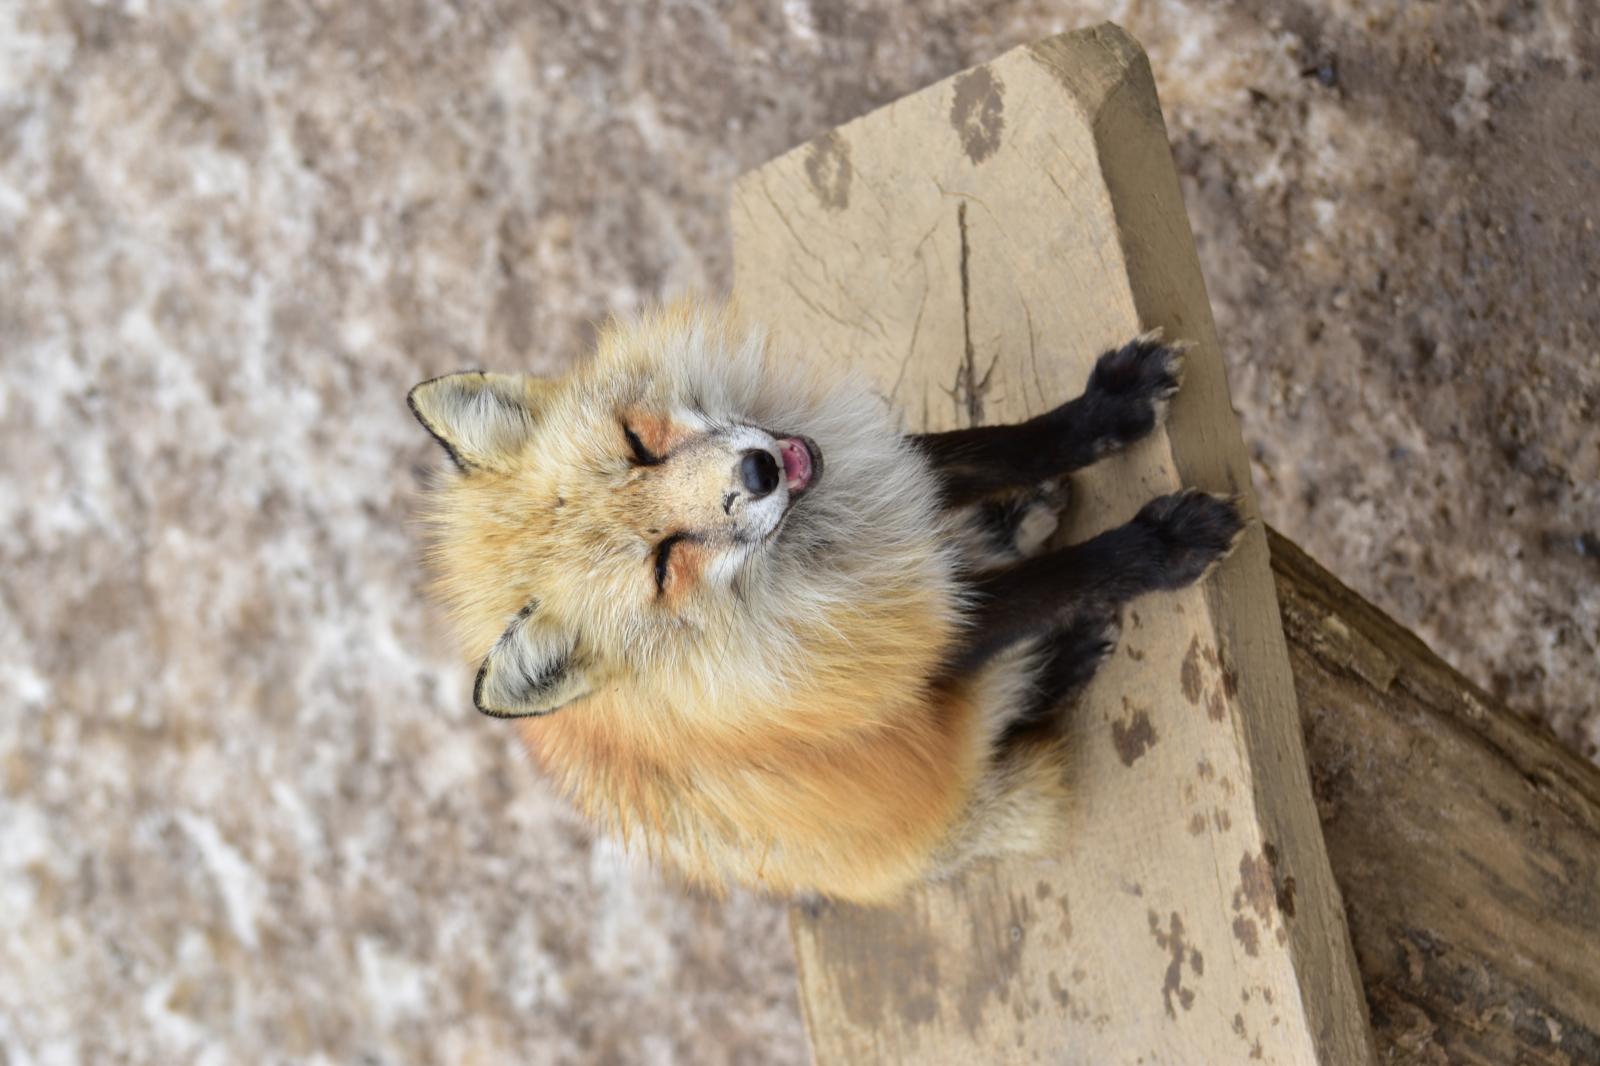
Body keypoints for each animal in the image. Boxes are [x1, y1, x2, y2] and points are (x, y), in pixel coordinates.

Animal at [406, 294, 1241, 902]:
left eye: (637, 446)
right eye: (664, 566)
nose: (759, 471)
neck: (811, 555)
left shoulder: (892, 485)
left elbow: (1007, 444)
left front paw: (1113, 405)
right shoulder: (905, 646)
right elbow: (1065, 578)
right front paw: (1166, 544)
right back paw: (1060, 653)